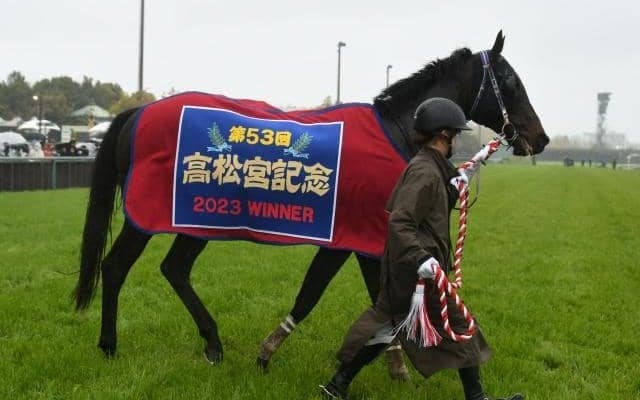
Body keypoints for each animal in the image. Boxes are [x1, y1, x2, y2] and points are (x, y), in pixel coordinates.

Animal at [73, 32, 549, 375]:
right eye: (511, 82)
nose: (540, 137)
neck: (399, 128)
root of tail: (137, 112)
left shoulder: (349, 239)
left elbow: (328, 293)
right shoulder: (363, 235)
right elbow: (335, 296)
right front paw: (390, 364)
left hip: (199, 218)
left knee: (174, 269)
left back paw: (211, 342)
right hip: (152, 216)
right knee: (116, 267)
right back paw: (110, 345)